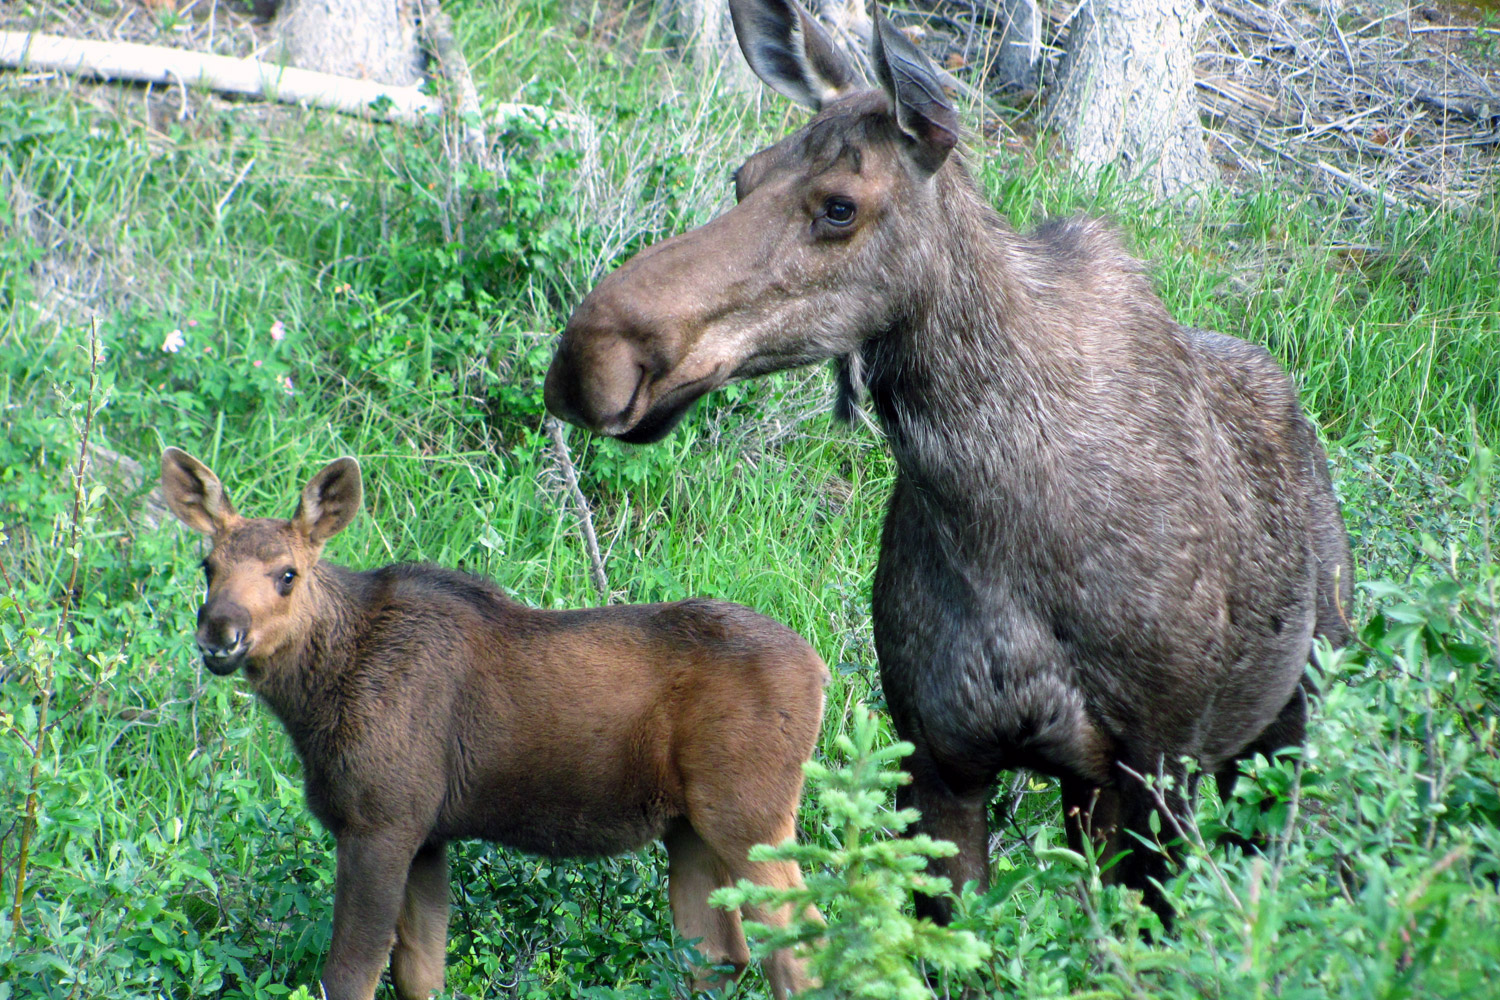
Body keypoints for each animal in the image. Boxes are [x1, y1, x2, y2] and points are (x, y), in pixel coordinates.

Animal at [159, 447, 827, 1000]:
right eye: (207, 565)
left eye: (287, 574)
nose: (220, 632)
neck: (317, 700)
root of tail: (821, 675)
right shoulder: (428, 835)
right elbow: (420, 974)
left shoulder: (382, 820)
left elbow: (349, 976)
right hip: (690, 827)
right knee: (717, 955)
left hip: (750, 811)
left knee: (803, 948)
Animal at [542, 0, 1354, 926]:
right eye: (744, 178)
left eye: (839, 206)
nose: (590, 357)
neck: (993, 512)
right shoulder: (939, 756)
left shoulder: (1159, 760)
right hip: (1093, 786)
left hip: (1298, 709)